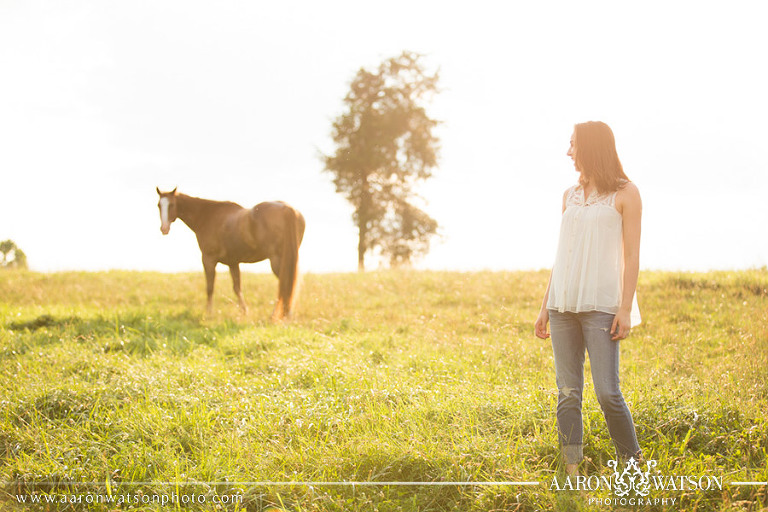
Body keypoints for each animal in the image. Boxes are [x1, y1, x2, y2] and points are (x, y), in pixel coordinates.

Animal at [158, 186, 304, 322]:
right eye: (159, 205)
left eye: (171, 205)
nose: (164, 228)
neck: (207, 217)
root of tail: (287, 209)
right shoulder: (233, 262)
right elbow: (237, 288)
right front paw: (244, 312)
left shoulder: (208, 260)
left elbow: (210, 287)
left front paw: (208, 313)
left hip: (278, 260)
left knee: (285, 284)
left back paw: (279, 315)